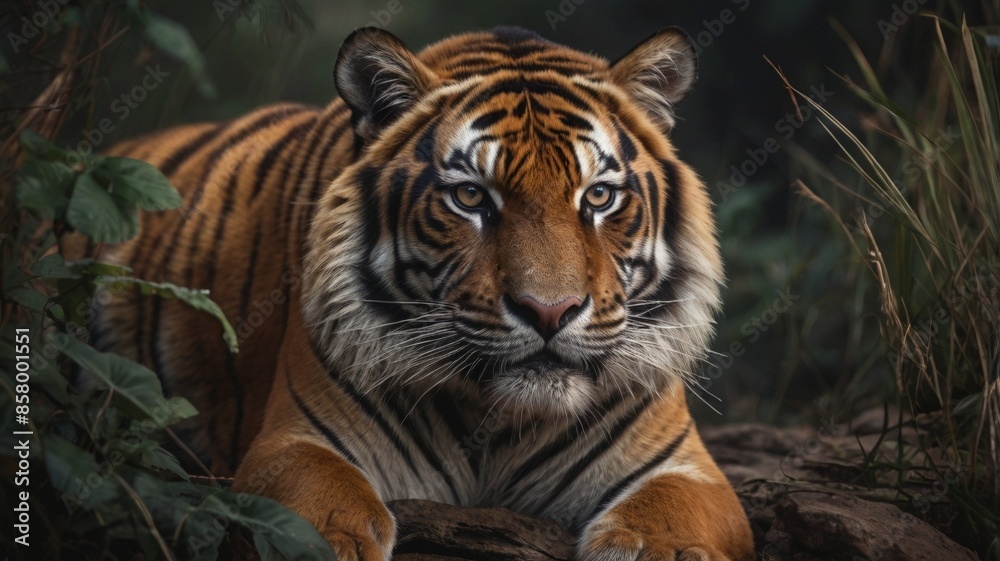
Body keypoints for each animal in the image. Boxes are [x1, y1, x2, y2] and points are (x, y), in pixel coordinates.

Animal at [94, 25, 754, 561]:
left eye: (598, 196)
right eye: (470, 197)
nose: (550, 312)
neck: (498, 423)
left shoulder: (687, 470)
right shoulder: (291, 443)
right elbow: (319, 515)